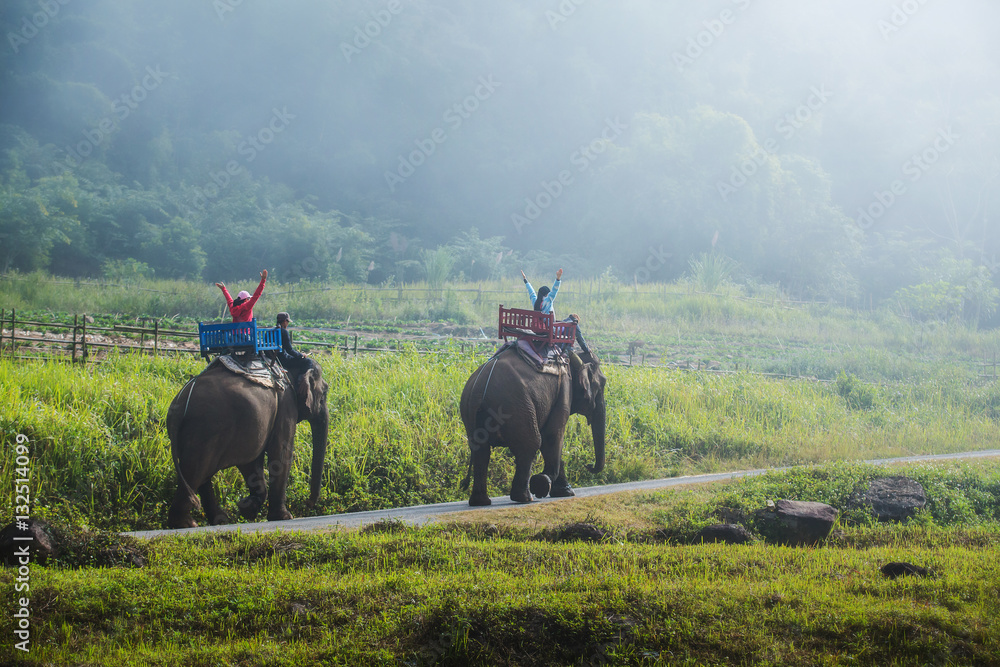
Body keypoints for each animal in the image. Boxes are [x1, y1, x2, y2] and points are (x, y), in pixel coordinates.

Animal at [165, 357, 329, 528]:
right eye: (325, 392)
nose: (308, 503)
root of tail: (179, 406)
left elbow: (252, 462)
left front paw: (247, 508)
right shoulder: (286, 405)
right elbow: (279, 454)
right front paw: (283, 517)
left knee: (199, 474)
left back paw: (218, 520)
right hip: (205, 430)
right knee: (196, 471)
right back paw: (187, 523)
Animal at [459, 346, 606, 505]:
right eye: (603, 384)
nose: (589, 465)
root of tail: (482, 388)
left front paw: (564, 492)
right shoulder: (564, 389)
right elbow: (552, 436)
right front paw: (542, 483)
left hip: (470, 409)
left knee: (481, 451)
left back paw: (481, 502)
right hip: (516, 407)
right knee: (531, 444)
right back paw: (524, 498)